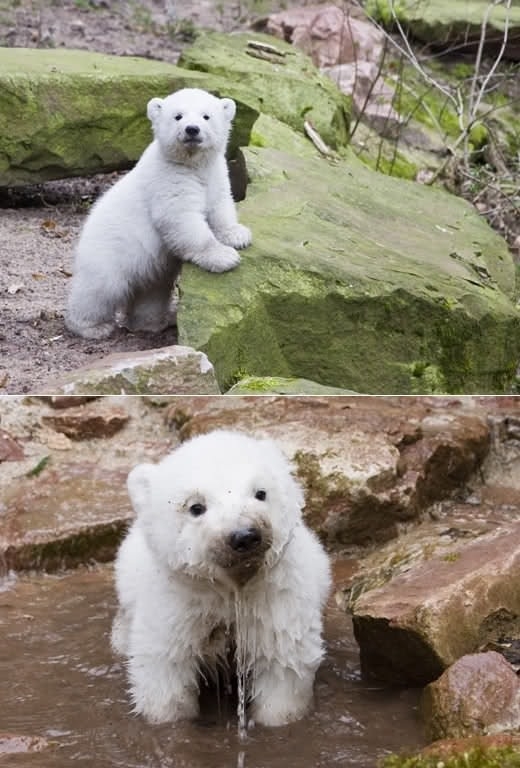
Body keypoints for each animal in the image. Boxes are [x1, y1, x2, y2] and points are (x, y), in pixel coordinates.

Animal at [65, 88, 251, 340]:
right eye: (178, 116)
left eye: (206, 116)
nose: (192, 130)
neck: (191, 164)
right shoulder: (168, 180)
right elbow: (182, 219)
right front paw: (224, 257)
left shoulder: (216, 174)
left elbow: (220, 204)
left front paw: (238, 235)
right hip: (108, 254)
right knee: (100, 289)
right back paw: (91, 326)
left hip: (151, 267)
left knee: (153, 292)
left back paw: (157, 321)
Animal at [111, 429, 331, 728]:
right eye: (195, 507)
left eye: (260, 493)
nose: (245, 536)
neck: (231, 588)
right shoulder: (177, 605)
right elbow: (166, 669)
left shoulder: (277, 602)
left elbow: (282, 664)